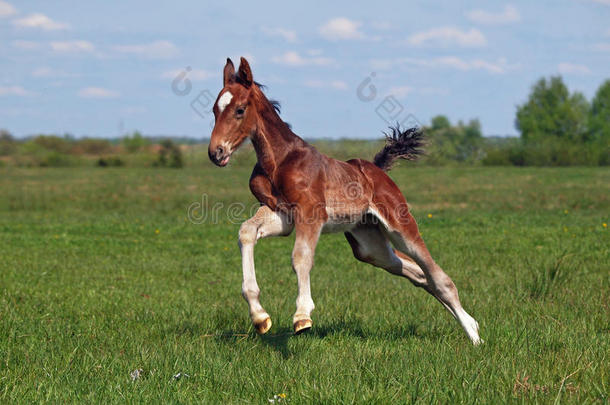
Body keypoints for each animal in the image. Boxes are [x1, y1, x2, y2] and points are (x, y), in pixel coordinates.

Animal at [208, 56, 480, 342]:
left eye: (239, 110)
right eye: (215, 109)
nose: (216, 152)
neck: (279, 160)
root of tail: (377, 169)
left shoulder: (311, 213)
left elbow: (300, 256)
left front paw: (302, 315)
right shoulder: (281, 215)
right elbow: (246, 232)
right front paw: (260, 316)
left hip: (400, 227)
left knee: (438, 277)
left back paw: (474, 336)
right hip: (370, 246)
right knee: (419, 274)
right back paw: (471, 325)